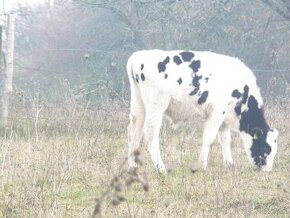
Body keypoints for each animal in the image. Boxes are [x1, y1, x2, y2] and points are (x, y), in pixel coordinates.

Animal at [127, 49, 278, 174]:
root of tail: (138, 56)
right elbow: (209, 138)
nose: (267, 170)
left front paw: (229, 164)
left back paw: (132, 166)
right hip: (156, 104)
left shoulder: (224, 119)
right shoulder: (217, 112)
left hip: (139, 104)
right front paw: (202, 165)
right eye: (266, 149)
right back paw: (161, 169)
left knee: (134, 132)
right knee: (150, 132)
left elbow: (225, 139)